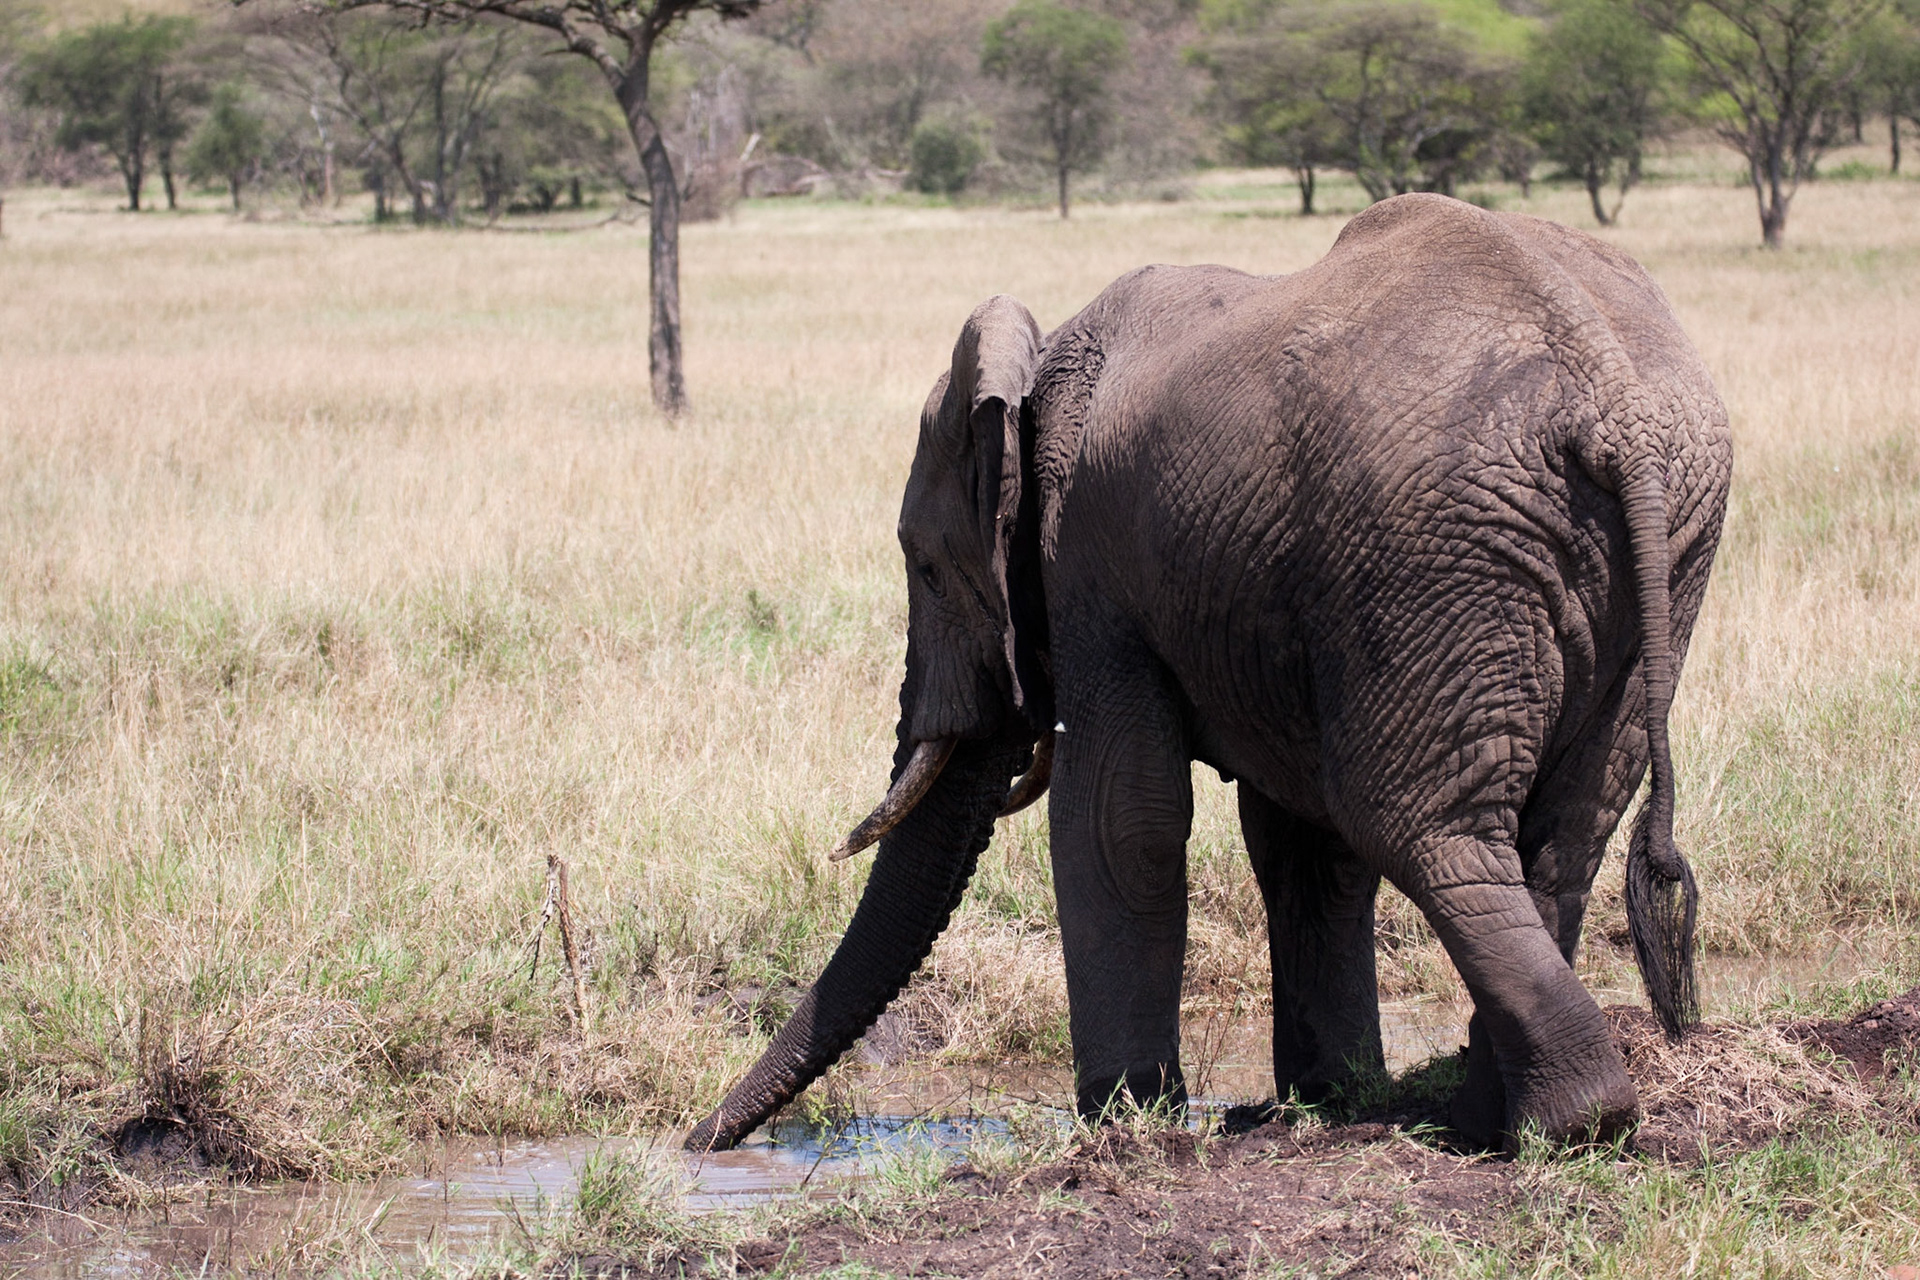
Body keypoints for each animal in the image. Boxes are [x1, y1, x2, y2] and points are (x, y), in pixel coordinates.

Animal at [686, 193, 1732, 1154]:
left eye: (927, 568)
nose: (699, 1143)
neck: (1037, 372)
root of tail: (1612, 406)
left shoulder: (1092, 565)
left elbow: (1120, 818)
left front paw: (1123, 1120)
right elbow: (1299, 847)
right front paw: (1328, 1096)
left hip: (1430, 559)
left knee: (1424, 828)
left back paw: (1556, 1123)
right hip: (1655, 560)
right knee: (1561, 837)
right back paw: (1502, 1117)